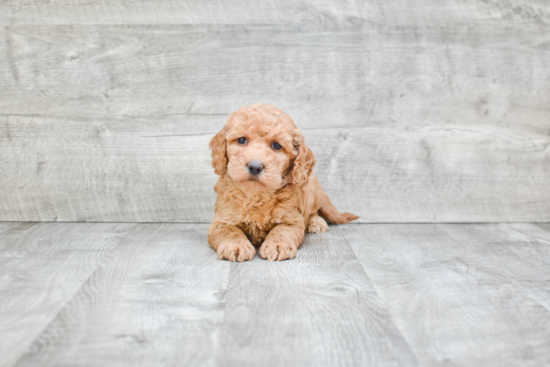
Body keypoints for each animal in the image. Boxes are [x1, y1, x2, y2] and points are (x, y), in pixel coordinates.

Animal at [209, 103, 360, 262]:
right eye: (242, 140)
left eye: (276, 145)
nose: (255, 167)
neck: (257, 194)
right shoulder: (222, 220)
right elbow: (229, 231)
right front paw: (236, 246)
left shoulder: (292, 219)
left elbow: (282, 229)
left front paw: (277, 245)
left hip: (312, 194)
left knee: (312, 212)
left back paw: (316, 222)